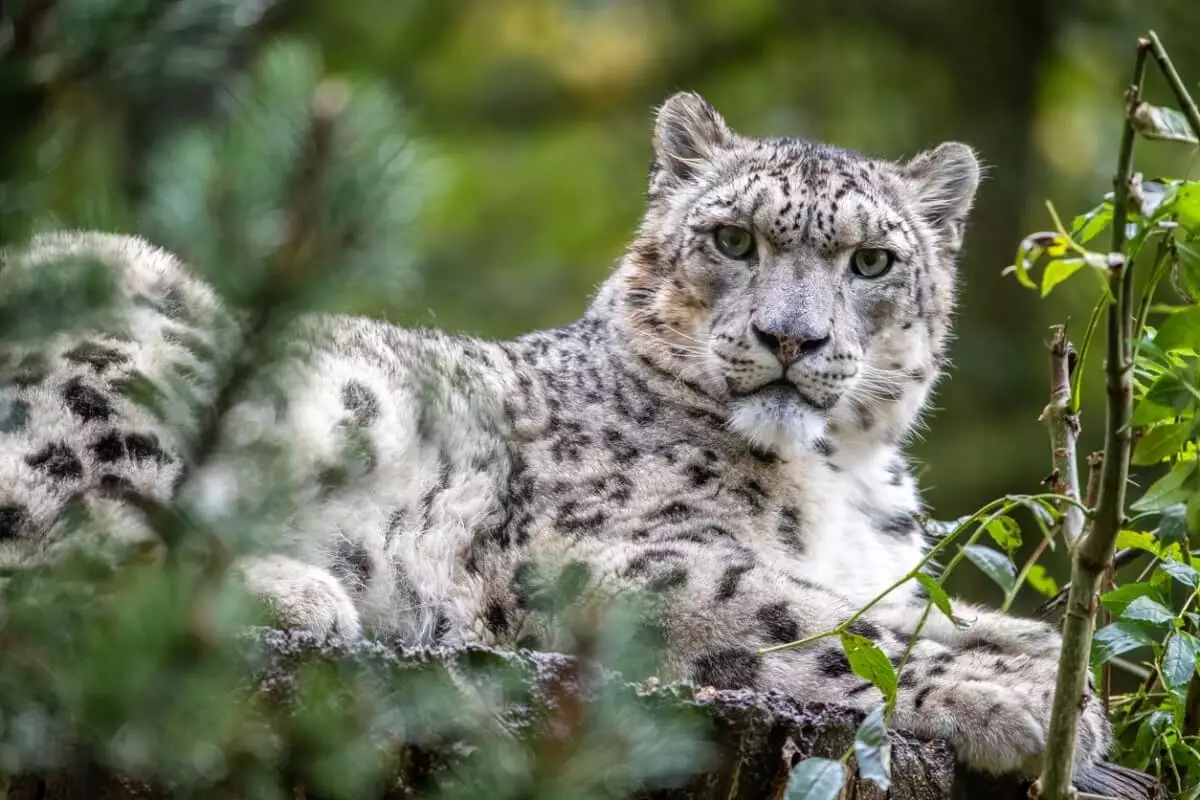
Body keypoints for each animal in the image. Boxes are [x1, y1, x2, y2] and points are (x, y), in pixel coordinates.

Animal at [0, 90, 1104, 777]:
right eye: (732, 238)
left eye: (873, 260)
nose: (792, 337)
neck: (844, 475)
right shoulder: (615, 559)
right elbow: (828, 621)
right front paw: (1029, 701)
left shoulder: (884, 564)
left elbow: (937, 608)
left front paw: (1051, 672)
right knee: (63, 557)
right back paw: (299, 590)